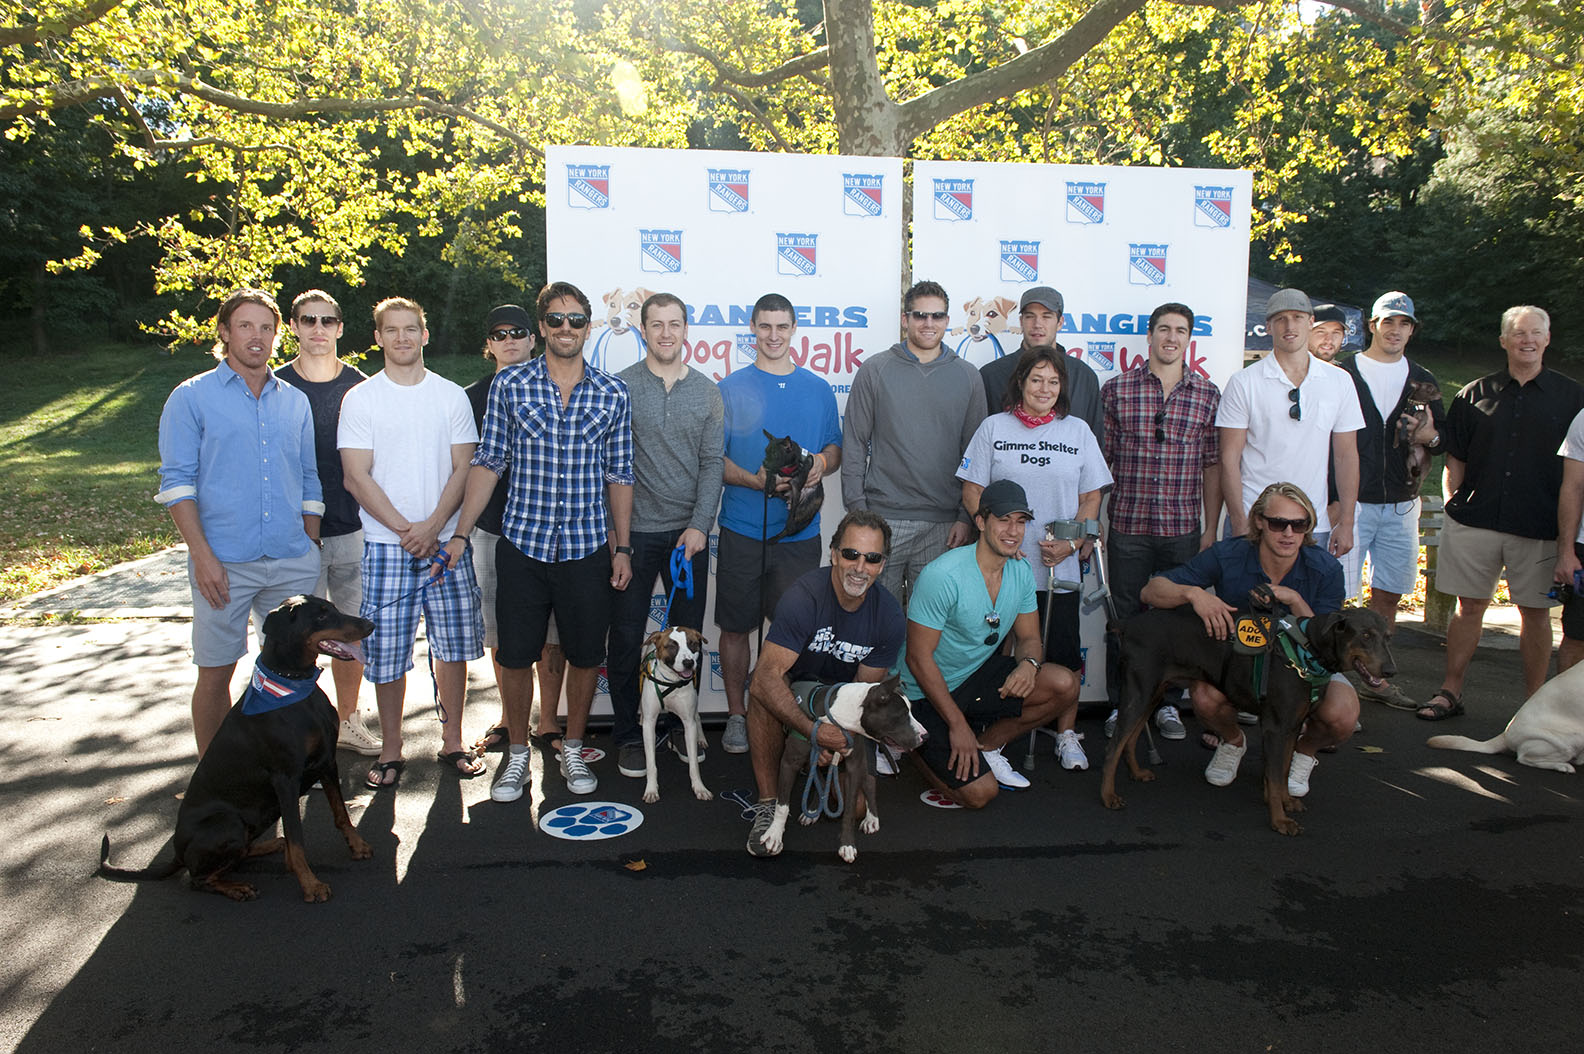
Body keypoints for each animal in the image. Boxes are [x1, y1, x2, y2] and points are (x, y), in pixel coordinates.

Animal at [636, 621, 712, 801]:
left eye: (692, 644)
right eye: (671, 646)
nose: (689, 663)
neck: (671, 681)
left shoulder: (688, 722)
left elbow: (694, 764)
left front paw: (699, 787)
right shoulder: (650, 723)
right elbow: (651, 763)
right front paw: (651, 789)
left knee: (698, 717)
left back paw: (701, 738)